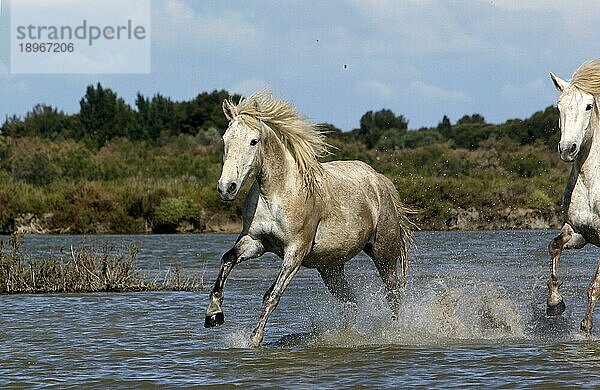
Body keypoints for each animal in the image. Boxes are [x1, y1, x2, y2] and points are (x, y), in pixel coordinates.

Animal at [204, 90, 414, 346]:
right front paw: (213, 314)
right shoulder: (255, 241)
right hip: (331, 268)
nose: (227, 188)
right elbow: (227, 260)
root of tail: (379, 180)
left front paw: (254, 339)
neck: (277, 193)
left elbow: (272, 295)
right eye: (225, 140)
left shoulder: (296, 250)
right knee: (351, 301)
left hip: (383, 254)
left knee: (393, 293)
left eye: (254, 141)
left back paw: (393, 332)